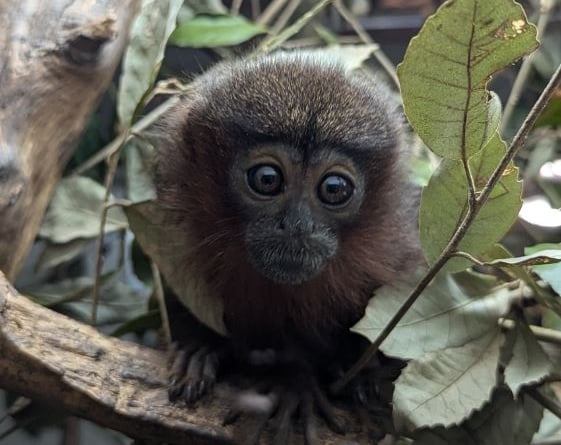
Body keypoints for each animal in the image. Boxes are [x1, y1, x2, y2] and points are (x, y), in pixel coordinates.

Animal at [153, 51, 420, 440]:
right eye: (267, 179)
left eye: (334, 188)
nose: (296, 226)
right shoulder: (175, 240)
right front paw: (201, 347)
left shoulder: (398, 253)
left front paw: (316, 379)